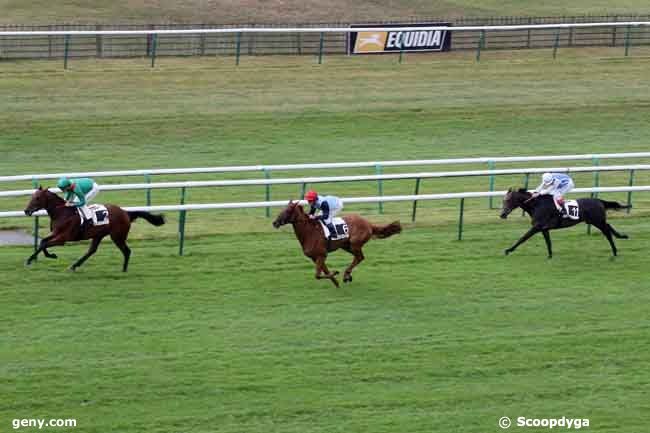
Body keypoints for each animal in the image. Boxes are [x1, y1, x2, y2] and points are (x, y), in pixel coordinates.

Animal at [22, 187, 165, 272]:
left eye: (37, 198)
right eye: (32, 196)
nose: (26, 211)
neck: (62, 213)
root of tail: (125, 212)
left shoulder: (63, 238)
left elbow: (45, 244)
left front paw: (41, 257)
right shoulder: (55, 233)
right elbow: (43, 242)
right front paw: (42, 256)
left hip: (117, 236)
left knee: (127, 251)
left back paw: (124, 270)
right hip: (99, 235)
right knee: (92, 250)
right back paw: (74, 266)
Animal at [270, 200, 400, 286]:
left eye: (287, 210)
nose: (275, 223)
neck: (310, 232)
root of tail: (369, 224)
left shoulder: (321, 255)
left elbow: (317, 275)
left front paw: (336, 273)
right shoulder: (315, 257)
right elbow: (324, 272)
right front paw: (336, 282)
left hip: (354, 244)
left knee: (359, 257)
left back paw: (346, 274)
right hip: (346, 246)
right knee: (359, 257)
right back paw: (347, 275)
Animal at [496, 188, 628, 256]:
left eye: (508, 200)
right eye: (503, 200)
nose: (502, 214)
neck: (537, 205)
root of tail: (599, 201)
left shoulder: (537, 227)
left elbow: (523, 238)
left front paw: (508, 250)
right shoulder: (544, 228)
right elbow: (548, 242)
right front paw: (550, 256)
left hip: (597, 221)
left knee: (607, 232)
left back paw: (615, 251)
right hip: (596, 221)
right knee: (608, 226)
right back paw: (622, 236)